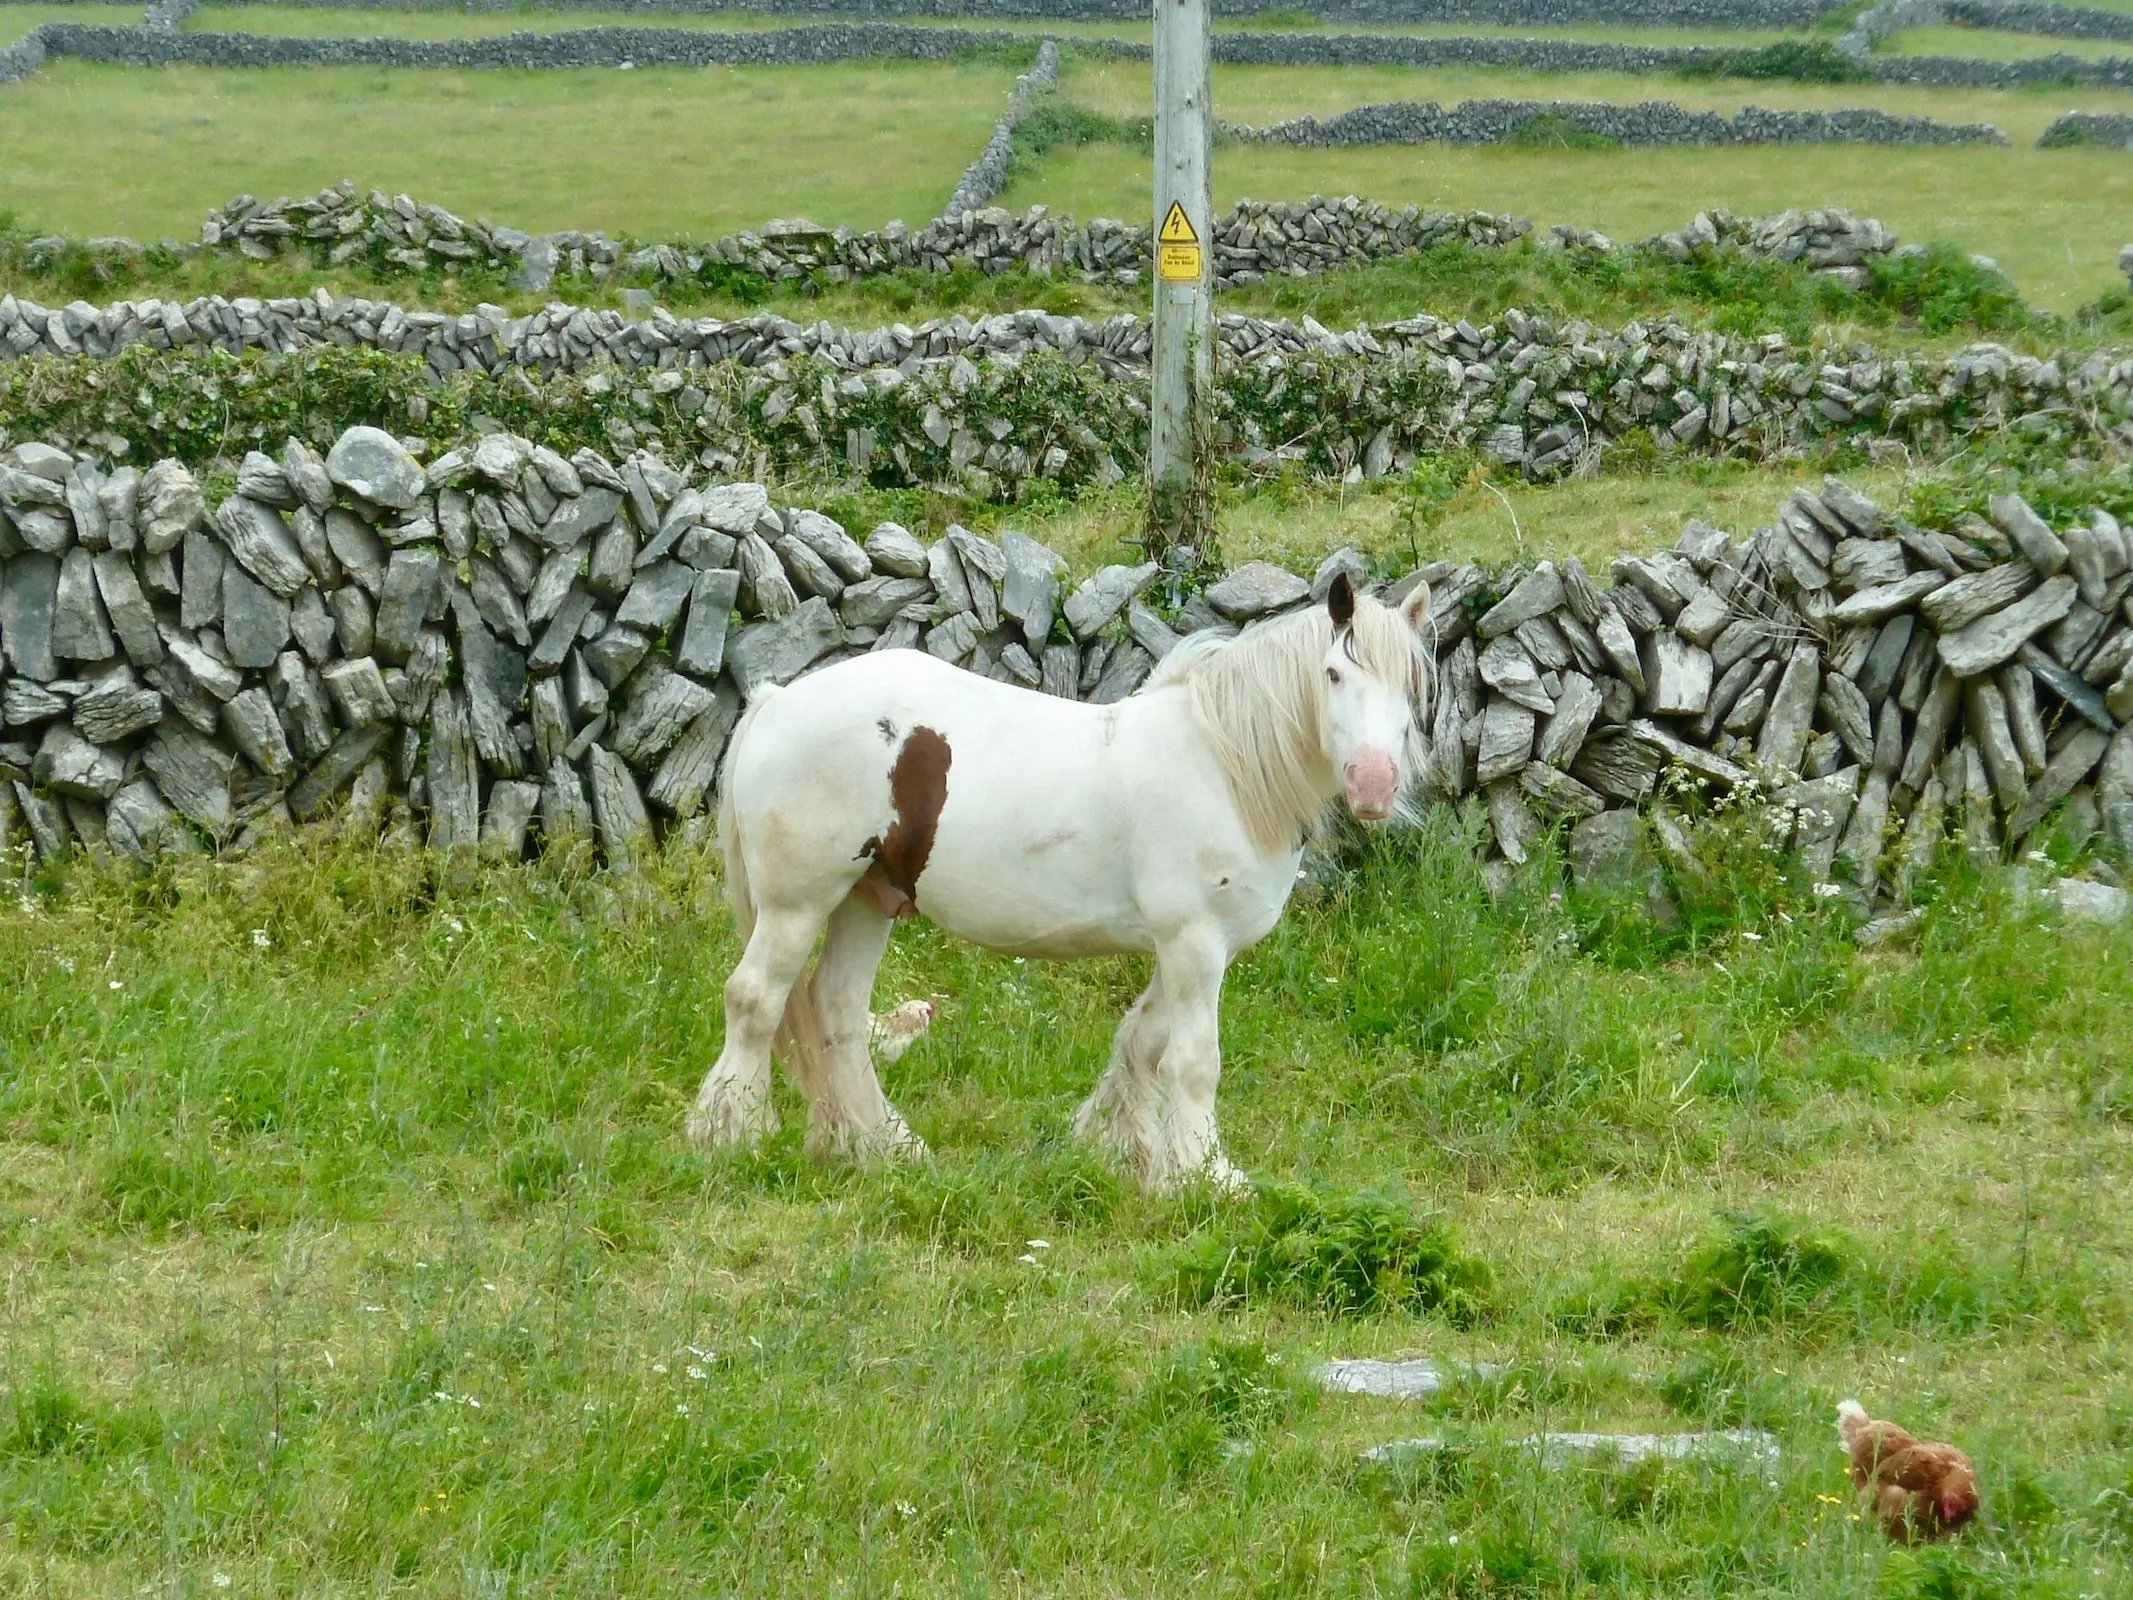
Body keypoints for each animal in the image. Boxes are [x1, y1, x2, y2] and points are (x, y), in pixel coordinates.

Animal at [686, 571, 1433, 1186]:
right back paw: (731, 1137)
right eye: (1333, 673)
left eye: (1410, 686)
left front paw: (1125, 1153)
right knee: (754, 1000)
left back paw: (886, 1148)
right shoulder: (1194, 944)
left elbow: (1141, 1045)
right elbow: (1193, 1061)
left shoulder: (1183, 950)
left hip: (868, 900)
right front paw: (1207, 1177)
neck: (1223, 765)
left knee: (838, 1012)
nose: (1373, 784)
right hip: (798, 904)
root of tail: (777, 699)